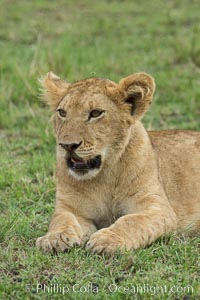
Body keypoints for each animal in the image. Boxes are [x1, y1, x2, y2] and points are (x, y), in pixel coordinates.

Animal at [36, 71, 200, 254]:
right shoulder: (71, 207)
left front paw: (107, 240)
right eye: (62, 112)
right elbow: (62, 219)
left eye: (95, 113)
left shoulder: (159, 208)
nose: (67, 145)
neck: (104, 176)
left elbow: (132, 221)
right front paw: (54, 238)